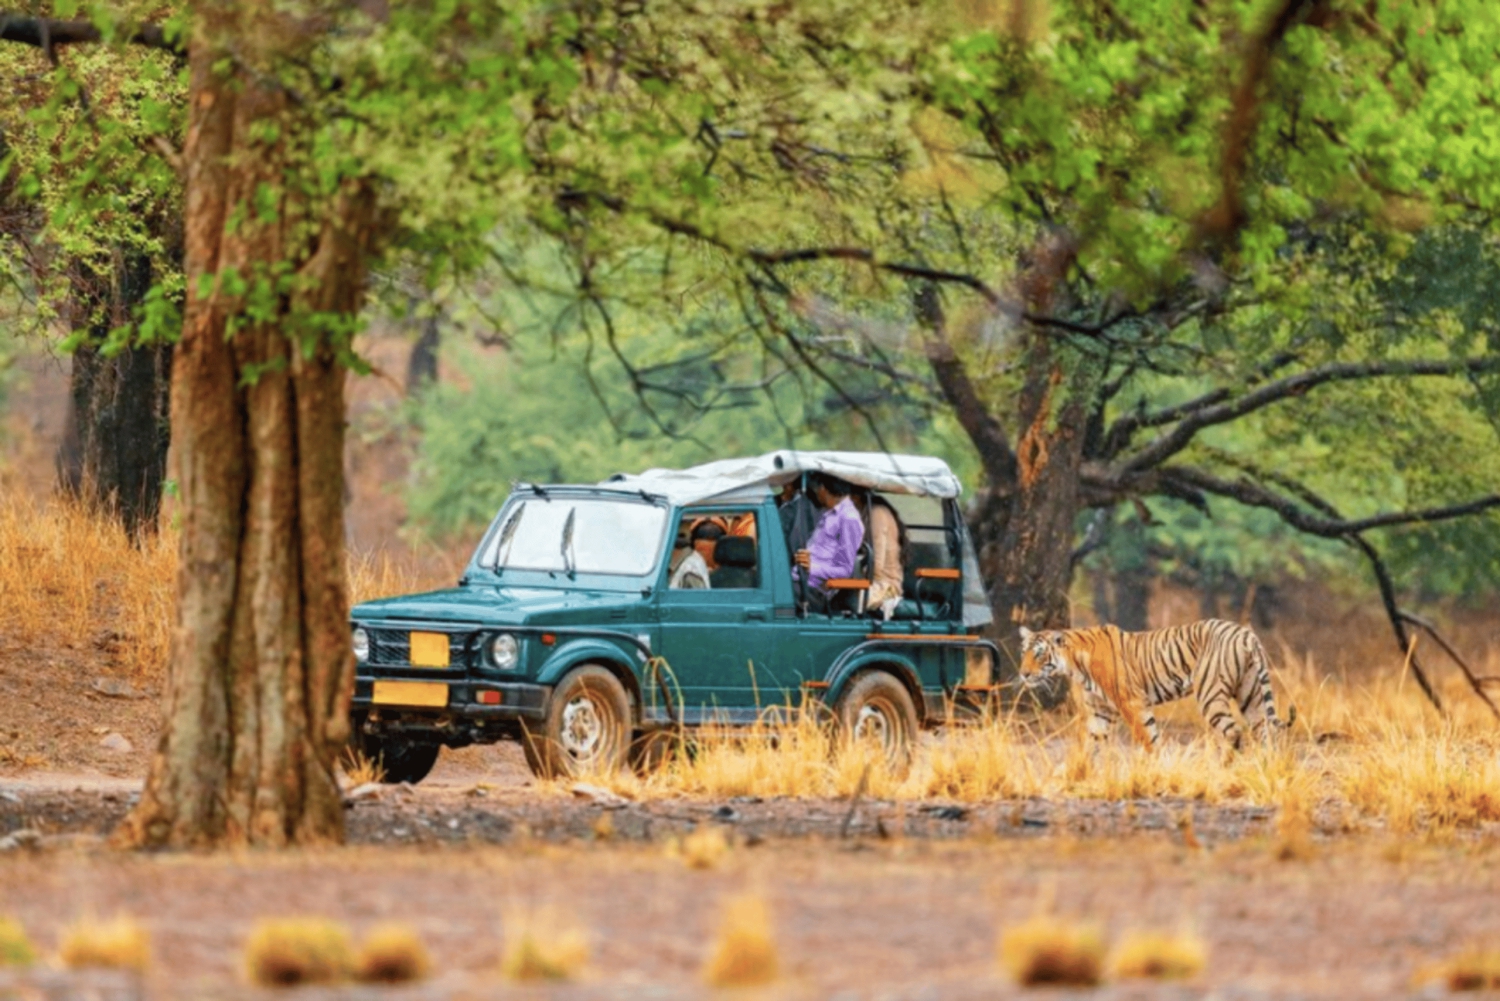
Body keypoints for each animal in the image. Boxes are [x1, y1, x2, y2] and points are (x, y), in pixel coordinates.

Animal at [1018, 619, 1293, 749]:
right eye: (1024, 652)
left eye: (1039, 654)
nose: (1023, 674)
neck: (1075, 664)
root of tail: (1245, 633)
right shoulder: (1100, 710)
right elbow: (1093, 743)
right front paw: (1083, 775)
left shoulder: (1131, 702)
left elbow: (1149, 738)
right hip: (1250, 693)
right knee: (1264, 730)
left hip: (1210, 692)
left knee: (1233, 731)